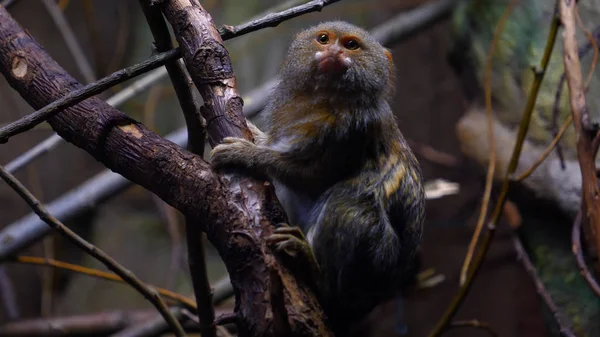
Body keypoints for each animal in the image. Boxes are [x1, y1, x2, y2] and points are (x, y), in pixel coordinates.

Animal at [209, 20, 424, 334]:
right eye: (324, 39)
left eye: (351, 45)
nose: (334, 52)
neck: (324, 99)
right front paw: (255, 135)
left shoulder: (351, 132)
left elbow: (310, 178)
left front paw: (247, 154)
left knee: (348, 203)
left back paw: (311, 265)